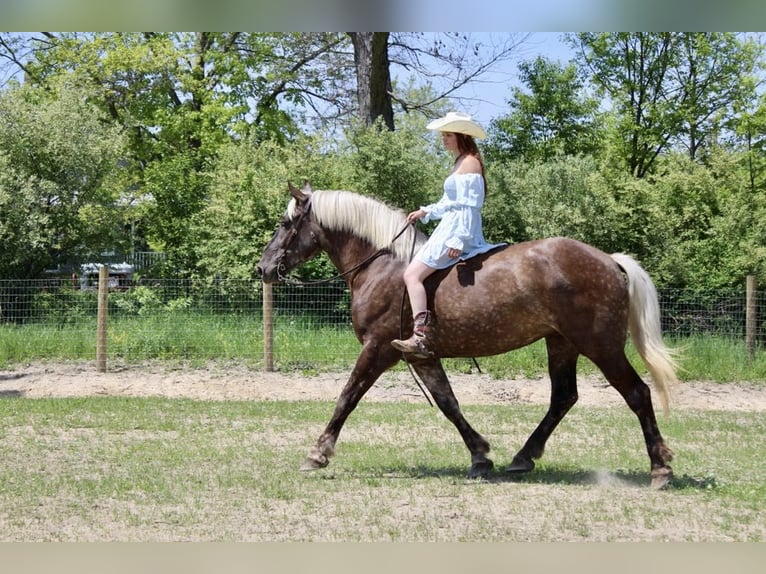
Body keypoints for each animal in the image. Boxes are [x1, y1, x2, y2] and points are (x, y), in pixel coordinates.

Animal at [257, 182, 680, 489]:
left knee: (637, 394)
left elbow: (346, 398)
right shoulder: (420, 355)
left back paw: (660, 468)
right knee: (563, 397)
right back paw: (523, 457)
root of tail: (610, 261)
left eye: (285, 224)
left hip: (601, 346)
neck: (382, 266)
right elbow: (449, 403)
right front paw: (480, 456)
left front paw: (317, 454)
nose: (263, 267)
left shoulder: (378, 350)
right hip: (561, 344)